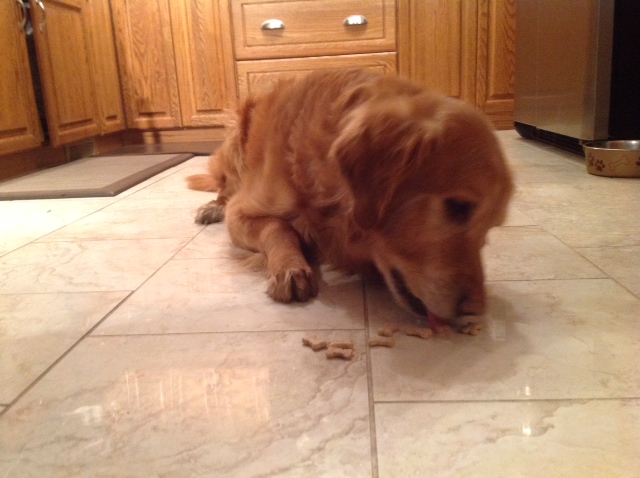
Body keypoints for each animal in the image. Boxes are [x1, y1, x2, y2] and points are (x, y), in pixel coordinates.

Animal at [187, 69, 513, 325]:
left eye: (490, 228)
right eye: (459, 207)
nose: (476, 311)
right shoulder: (242, 210)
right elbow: (278, 226)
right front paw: (290, 267)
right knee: (224, 189)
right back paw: (211, 208)